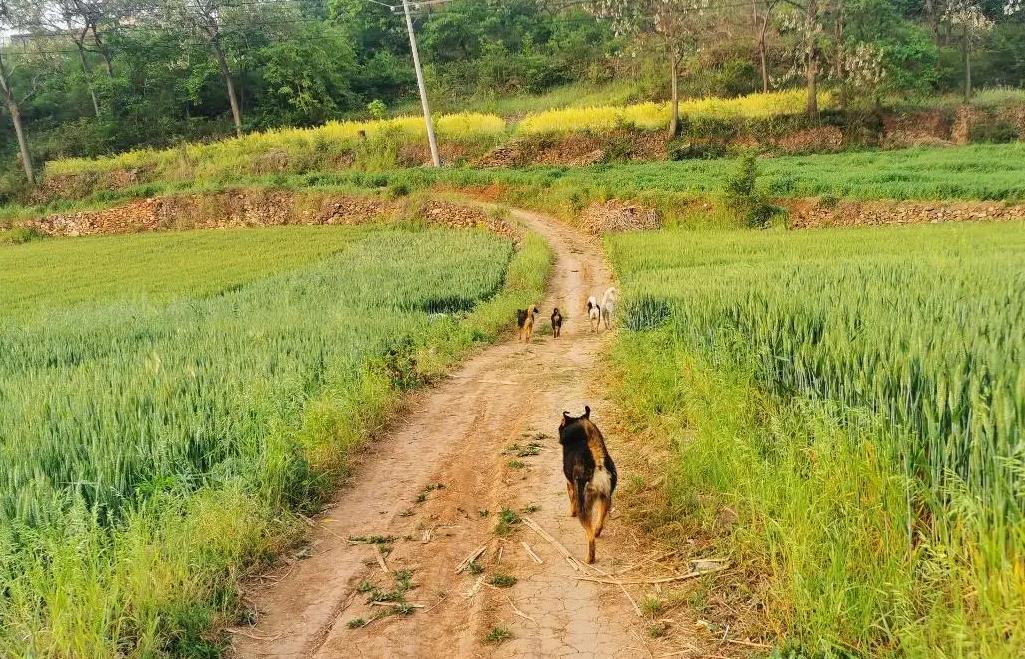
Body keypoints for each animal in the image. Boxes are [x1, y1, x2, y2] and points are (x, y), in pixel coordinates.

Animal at [561, 403, 615, 565]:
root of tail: (598, 464)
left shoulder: (570, 484)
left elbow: (571, 499)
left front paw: (570, 513)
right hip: (605, 498)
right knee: (600, 521)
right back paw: (597, 531)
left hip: (584, 506)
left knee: (590, 537)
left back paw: (589, 558)